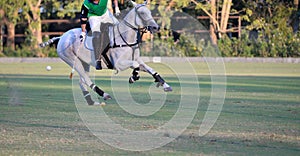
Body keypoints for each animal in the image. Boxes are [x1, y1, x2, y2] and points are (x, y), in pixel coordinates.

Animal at [40, 1, 171, 105]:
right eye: (142, 13)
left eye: (149, 12)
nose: (156, 28)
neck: (125, 38)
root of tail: (62, 36)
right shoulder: (119, 64)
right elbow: (135, 65)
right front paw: (133, 77)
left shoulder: (137, 59)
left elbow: (150, 69)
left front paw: (165, 85)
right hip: (72, 60)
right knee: (86, 79)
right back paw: (104, 94)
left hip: (84, 63)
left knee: (81, 81)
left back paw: (91, 102)